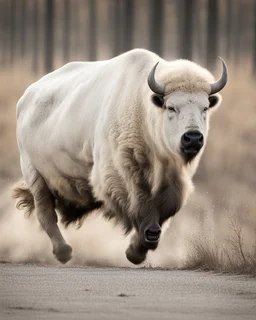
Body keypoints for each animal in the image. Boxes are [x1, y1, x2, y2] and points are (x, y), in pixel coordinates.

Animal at [12, 48, 228, 264]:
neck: (143, 110)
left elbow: (166, 206)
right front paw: (139, 246)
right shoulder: (120, 172)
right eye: (171, 107)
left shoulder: (172, 176)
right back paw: (63, 251)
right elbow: (139, 203)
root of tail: (25, 99)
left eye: (205, 107)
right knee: (46, 214)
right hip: (34, 174)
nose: (193, 138)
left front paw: (144, 243)